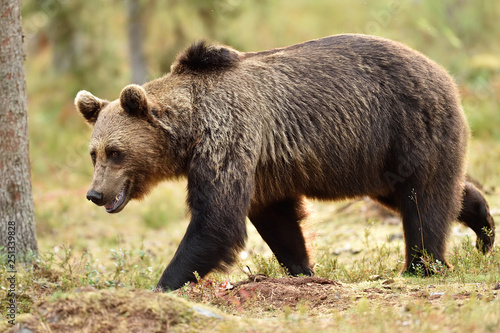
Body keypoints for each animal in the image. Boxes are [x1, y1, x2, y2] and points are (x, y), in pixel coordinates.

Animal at [76, 33, 494, 288]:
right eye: (94, 154)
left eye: (116, 152)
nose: (95, 194)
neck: (190, 128)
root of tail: (443, 72)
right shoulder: (263, 168)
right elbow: (277, 220)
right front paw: (302, 269)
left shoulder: (230, 137)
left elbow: (215, 221)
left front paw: (164, 284)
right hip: (375, 162)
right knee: (419, 194)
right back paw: (483, 224)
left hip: (407, 126)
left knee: (423, 200)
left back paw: (421, 266)